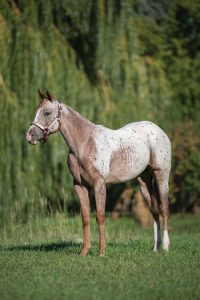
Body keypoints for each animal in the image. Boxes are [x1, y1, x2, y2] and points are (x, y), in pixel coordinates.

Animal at [25, 91, 171, 255]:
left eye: (47, 112)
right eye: (36, 111)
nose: (30, 136)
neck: (85, 143)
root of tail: (158, 130)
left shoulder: (99, 184)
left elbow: (100, 216)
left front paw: (101, 251)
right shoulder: (80, 186)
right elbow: (85, 217)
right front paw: (84, 251)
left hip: (161, 177)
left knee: (164, 209)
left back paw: (165, 247)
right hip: (143, 183)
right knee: (154, 211)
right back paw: (155, 248)